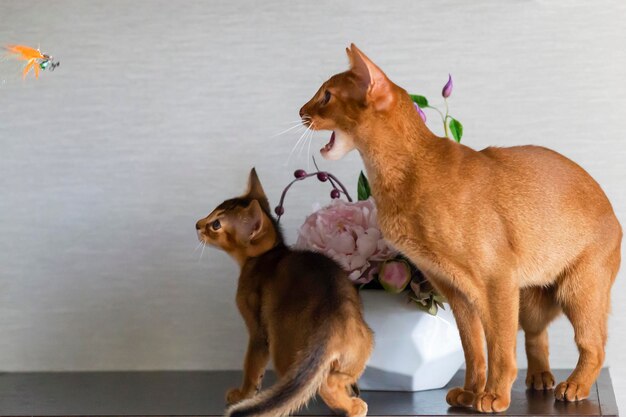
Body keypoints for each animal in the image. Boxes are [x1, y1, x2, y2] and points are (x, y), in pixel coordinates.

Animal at [195, 168, 370, 416]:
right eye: (213, 211)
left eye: (216, 224)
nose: (198, 224)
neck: (265, 256)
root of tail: (331, 324)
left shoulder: (258, 332)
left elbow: (251, 366)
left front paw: (243, 394)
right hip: (361, 350)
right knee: (334, 379)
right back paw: (354, 402)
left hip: (281, 347)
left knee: (321, 385)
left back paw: (350, 407)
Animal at [298, 44, 620, 412]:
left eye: (326, 96)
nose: (301, 111)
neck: (409, 172)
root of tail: (611, 209)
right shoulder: (456, 290)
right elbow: (475, 350)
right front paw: (471, 392)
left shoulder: (496, 281)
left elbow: (500, 349)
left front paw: (494, 395)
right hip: (529, 299)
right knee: (537, 335)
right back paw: (540, 378)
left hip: (578, 290)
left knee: (594, 345)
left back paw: (574, 385)